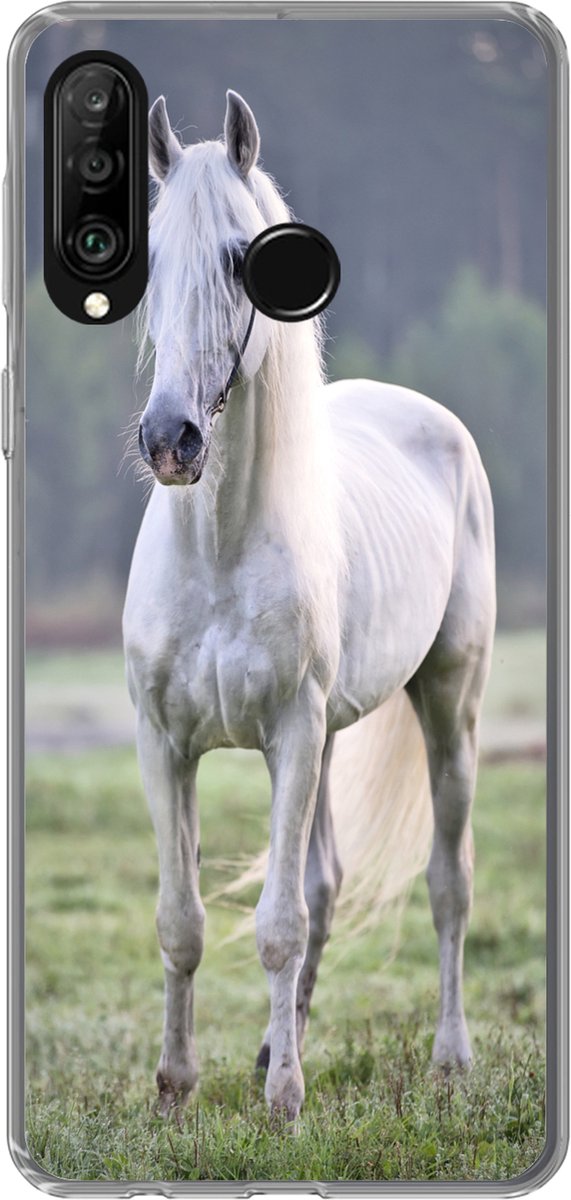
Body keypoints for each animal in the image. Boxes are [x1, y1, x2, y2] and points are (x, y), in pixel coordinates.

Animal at [123, 89, 496, 1122]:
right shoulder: (165, 744)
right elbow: (181, 921)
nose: (169, 440)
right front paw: (175, 1088)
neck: (217, 553)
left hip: (446, 706)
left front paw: (284, 1102)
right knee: (326, 883)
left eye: (237, 259)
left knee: (446, 883)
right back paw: (266, 1048)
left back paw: (448, 1057)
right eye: (150, 259)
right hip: (329, 737)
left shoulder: (288, 736)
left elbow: (278, 925)